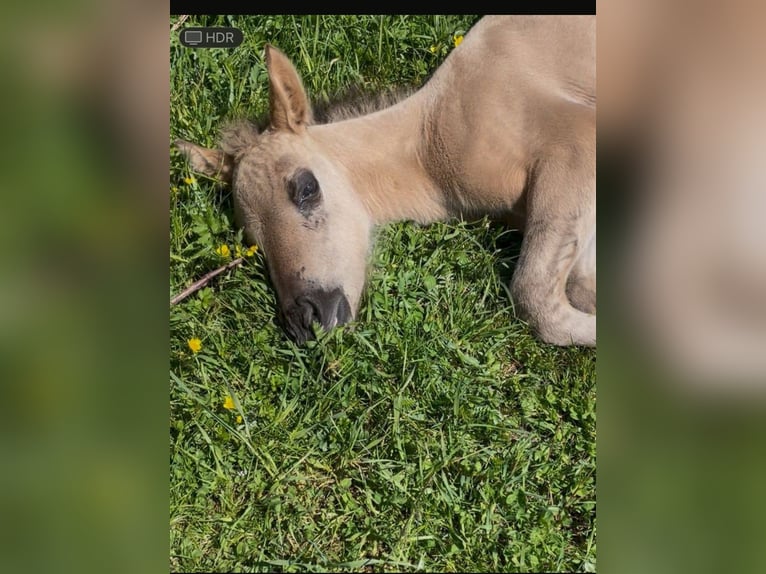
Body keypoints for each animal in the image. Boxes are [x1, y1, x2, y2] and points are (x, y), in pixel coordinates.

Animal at [175, 15, 596, 346]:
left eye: (307, 189)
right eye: (251, 237)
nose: (308, 321)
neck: (431, 148)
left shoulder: (573, 145)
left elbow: (532, 293)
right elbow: (577, 283)